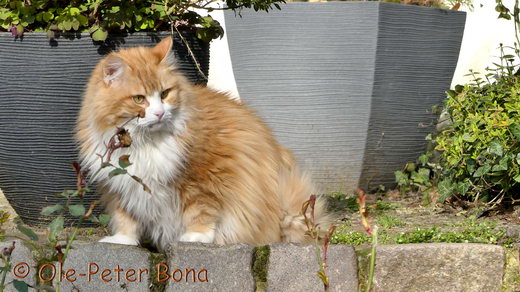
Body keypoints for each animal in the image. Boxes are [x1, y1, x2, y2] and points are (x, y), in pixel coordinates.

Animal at [76, 36, 330, 251]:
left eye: (165, 94)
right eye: (139, 99)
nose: (159, 113)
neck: (145, 143)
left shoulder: (205, 179)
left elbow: (201, 212)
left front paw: (196, 237)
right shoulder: (122, 185)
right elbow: (125, 219)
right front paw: (122, 241)